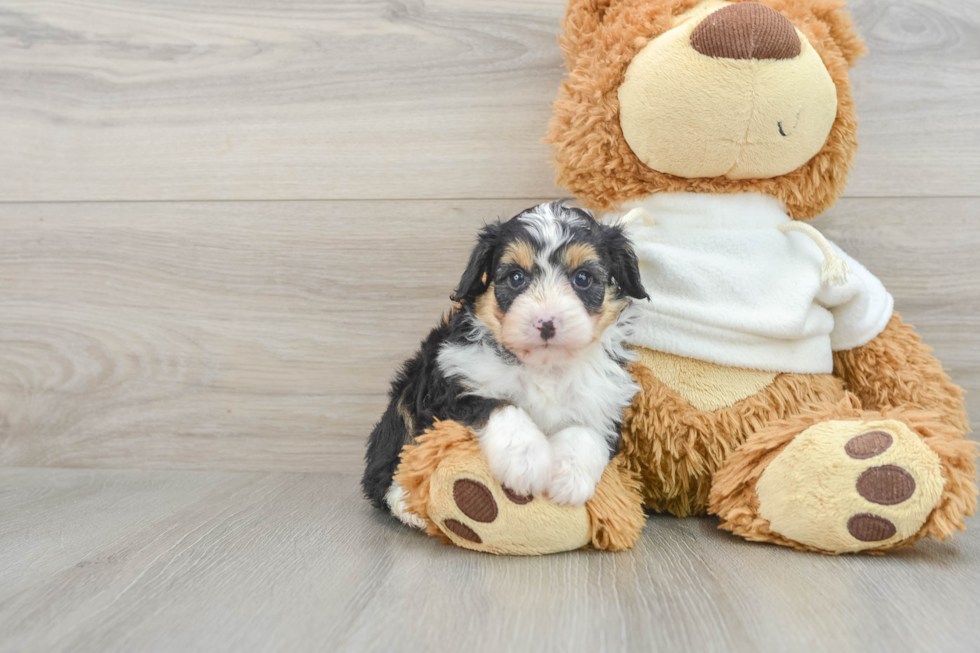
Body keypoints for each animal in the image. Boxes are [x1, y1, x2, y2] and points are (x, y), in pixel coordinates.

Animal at [364, 201, 648, 528]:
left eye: (583, 278)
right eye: (515, 278)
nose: (546, 323)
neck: (543, 366)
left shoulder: (605, 400)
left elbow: (586, 430)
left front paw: (570, 477)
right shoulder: (450, 386)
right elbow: (500, 405)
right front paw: (526, 460)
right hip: (405, 402)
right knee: (388, 466)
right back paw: (408, 506)